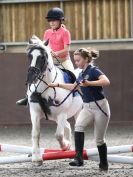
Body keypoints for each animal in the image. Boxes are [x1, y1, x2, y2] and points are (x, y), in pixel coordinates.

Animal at [25, 35, 82, 165]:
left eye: (42, 57)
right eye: (29, 56)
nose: (31, 78)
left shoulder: (62, 113)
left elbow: (58, 135)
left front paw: (65, 146)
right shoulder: (35, 112)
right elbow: (35, 134)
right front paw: (36, 158)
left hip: (78, 112)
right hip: (56, 117)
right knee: (67, 126)